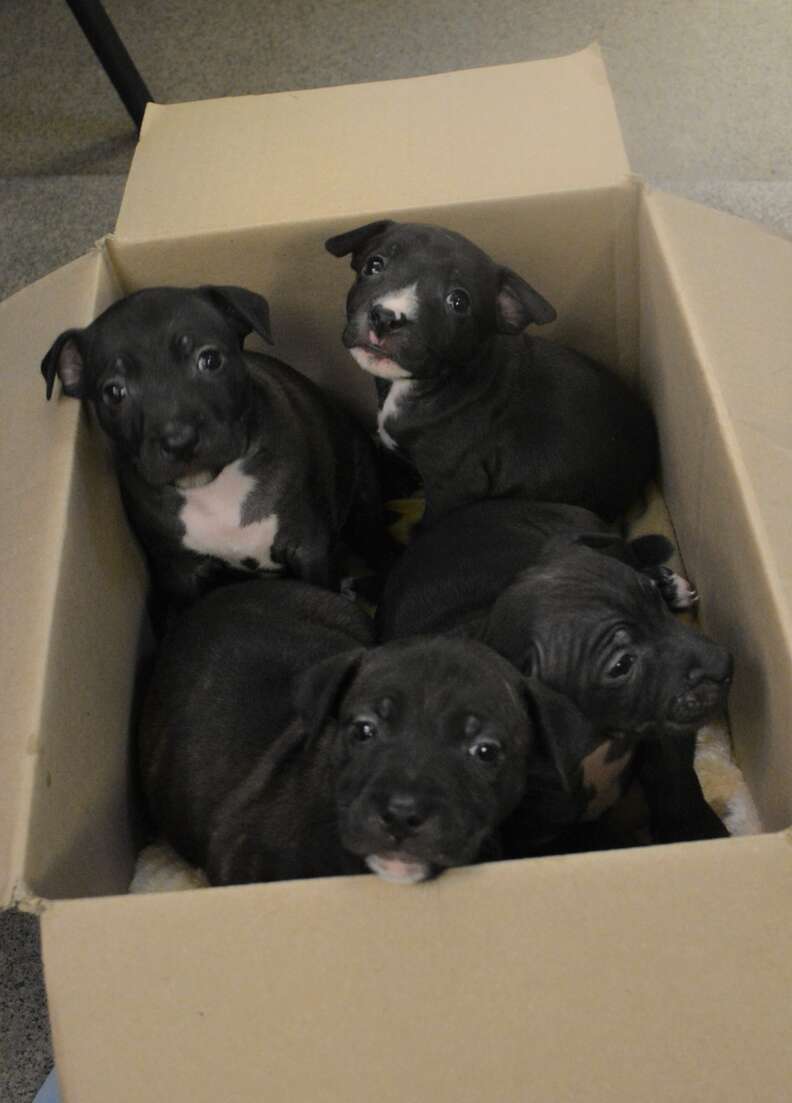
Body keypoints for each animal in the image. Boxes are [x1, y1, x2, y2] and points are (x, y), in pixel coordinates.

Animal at [42, 284, 383, 613]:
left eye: (210, 360)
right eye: (114, 392)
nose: (179, 440)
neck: (214, 487)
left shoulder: (309, 549)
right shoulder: (180, 573)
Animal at [375, 500, 736, 851]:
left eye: (655, 605)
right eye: (622, 665)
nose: (725, 665)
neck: (598, 744)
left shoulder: (657, 719)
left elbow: (672, 773)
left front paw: (699, 830)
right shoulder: (533, 840)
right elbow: (599, 837)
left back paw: (669, 582)